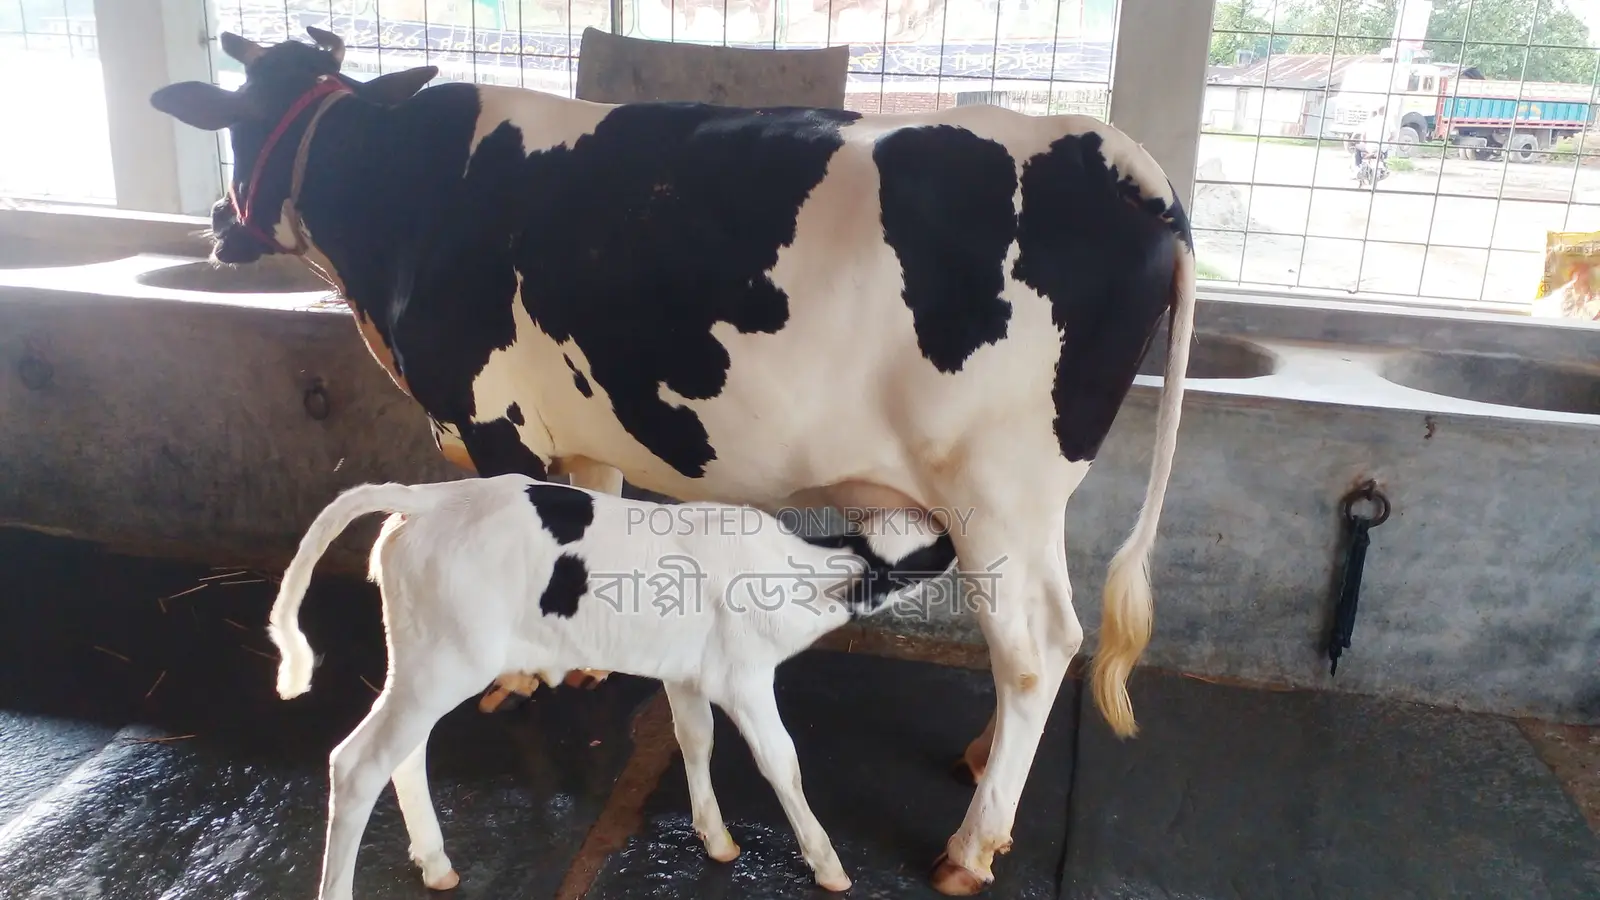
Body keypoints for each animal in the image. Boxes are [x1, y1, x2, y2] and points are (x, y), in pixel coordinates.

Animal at [267, 474, 957, 898]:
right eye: (922, 554)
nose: (954, 535)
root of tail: (428, 498)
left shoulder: (686, 673)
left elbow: (695, 740)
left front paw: (717, 838)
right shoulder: (745, 678)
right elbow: (781, 763)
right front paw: (828, 864)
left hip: (423, 664)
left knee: (402, 755)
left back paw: (436, 864)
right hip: (442, 665)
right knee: (356, 764)